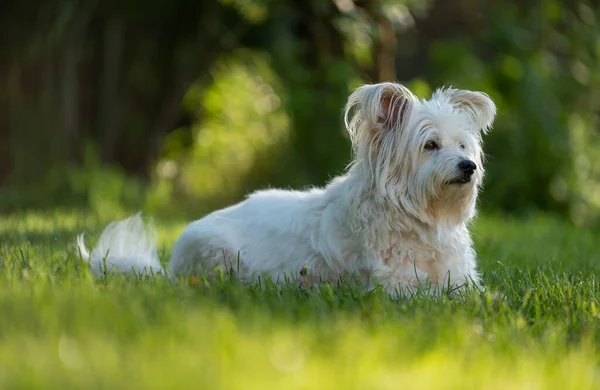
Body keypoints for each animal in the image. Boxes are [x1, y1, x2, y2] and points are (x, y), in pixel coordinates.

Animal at [76, 83, 496, 296]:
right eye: (430, 145)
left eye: (463, 145)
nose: (468, 166)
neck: (419, 216)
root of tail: (172, 267)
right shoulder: (397, 287)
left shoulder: (462, 277)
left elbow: (477, 293)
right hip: (219, 254)